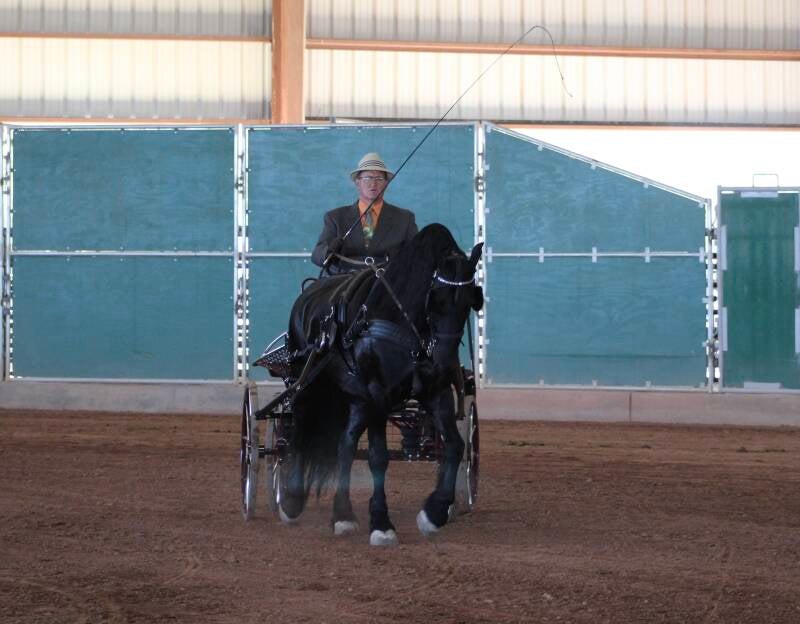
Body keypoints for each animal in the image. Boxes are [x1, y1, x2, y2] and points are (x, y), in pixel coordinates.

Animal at [279, 223, 484, 546]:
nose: (443, 363)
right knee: (299, 431)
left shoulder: (434, 391)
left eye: (469, 303)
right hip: (306, 384)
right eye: (435, 300)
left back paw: (343, 514)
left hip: (354, 398)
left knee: (345, 445)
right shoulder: (378, 394)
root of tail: (309, 292)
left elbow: (454, 445)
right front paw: (381, 523)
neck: (403, 322)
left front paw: (435, 512)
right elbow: (378, 457)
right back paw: (292, 501)